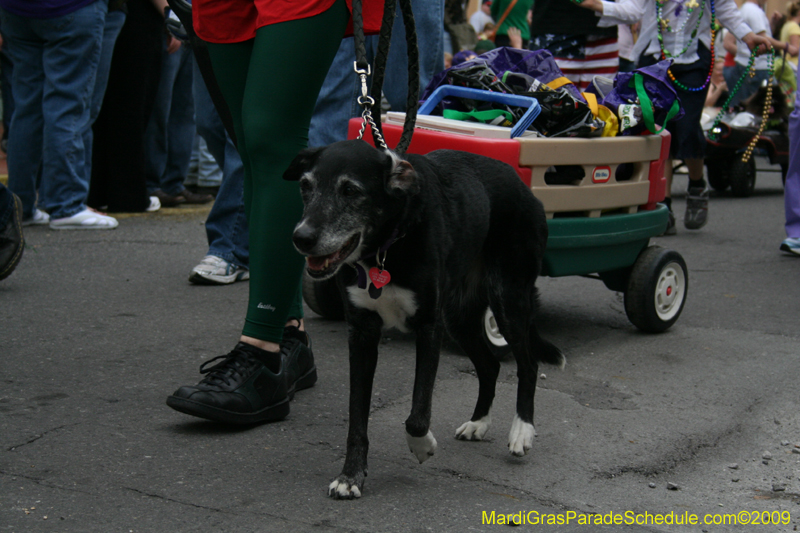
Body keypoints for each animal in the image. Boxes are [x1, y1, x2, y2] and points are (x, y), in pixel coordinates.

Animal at [282, 140, 564, 498]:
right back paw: (478, 422)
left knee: (528, 365)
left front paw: (422, 446)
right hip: (459, 317)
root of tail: (522, 185)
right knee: (490, 366)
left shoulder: (429, 327)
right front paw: (350, 475)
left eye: (350, 190)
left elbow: (418, 413)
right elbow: (357, 415)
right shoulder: (361, 334)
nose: (301, 238)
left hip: (508, 300)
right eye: (306, 187)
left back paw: (522, 430)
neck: (387, 246)